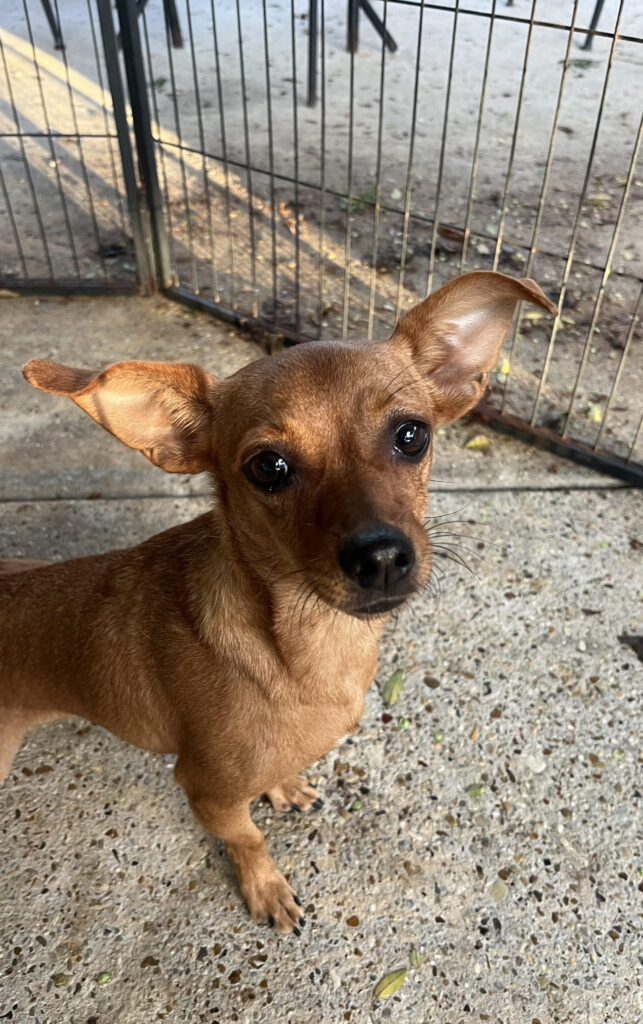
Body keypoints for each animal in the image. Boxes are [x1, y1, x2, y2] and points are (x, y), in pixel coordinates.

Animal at [0, 272, 552, 937]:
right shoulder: (207, 794)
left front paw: (283, 786)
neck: (305, 645)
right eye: (269, 466)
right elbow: (250, 841)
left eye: (412, 435)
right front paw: (264, 887)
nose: (381, 557)